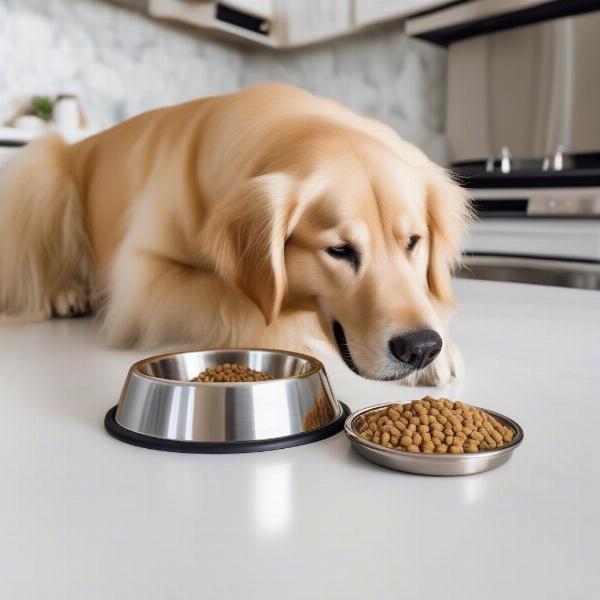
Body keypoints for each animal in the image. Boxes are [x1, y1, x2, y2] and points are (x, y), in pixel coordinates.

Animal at [0, 83, 468, 384]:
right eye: (339, 250)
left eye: (413, 243)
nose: (421, 348)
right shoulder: (141, 278)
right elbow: (243, 307)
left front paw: (441, 348)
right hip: (41, 170)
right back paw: (64, 292)